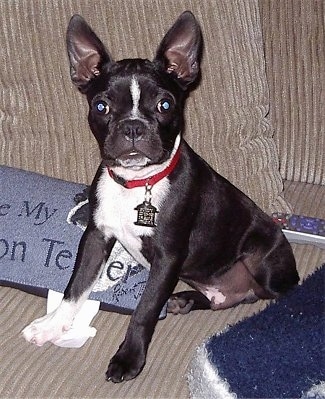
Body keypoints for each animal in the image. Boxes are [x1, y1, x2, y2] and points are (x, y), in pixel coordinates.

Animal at [21, 10, 298, 382]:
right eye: (101, 106)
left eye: (165, 104)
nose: (133, 127)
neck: (138, 182)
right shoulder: (96, 237)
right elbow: (75, 287)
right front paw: (52, 326)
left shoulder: (168, 257)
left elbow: (145, 310)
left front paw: (129, 359)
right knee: (231, 297)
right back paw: (186, 300)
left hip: (264, 261)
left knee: (263, 292)